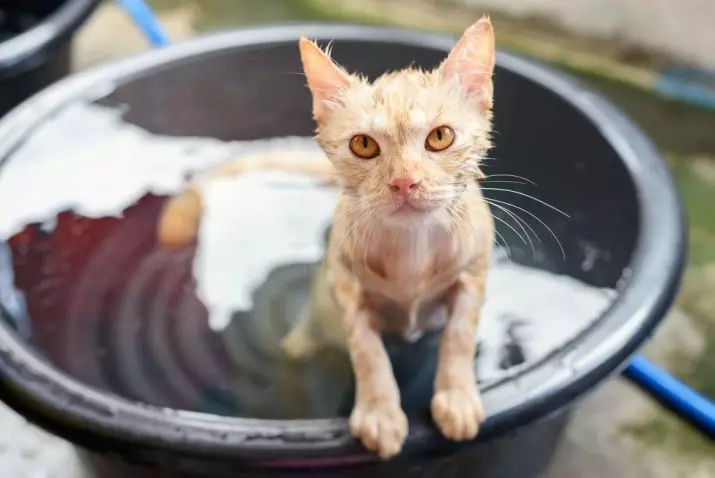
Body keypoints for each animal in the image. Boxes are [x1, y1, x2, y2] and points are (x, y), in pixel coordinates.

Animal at [157, 16, 496, 462]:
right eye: (364, 144)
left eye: (440, 137)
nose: (404, 182)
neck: (413, 247)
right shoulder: (345, 286)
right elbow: (368, 352)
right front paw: (380, 413)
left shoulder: (473, 275)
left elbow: (459, 336)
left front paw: (456, 398)